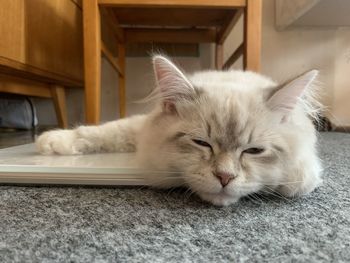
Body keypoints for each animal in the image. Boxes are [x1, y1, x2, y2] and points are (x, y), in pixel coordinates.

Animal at [36, 55, 322, 207]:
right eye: (202, 143)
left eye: (254, 151)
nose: (225, 177)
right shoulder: (138, 128)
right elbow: (103, 131)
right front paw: (52, 141)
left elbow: (300, 177)